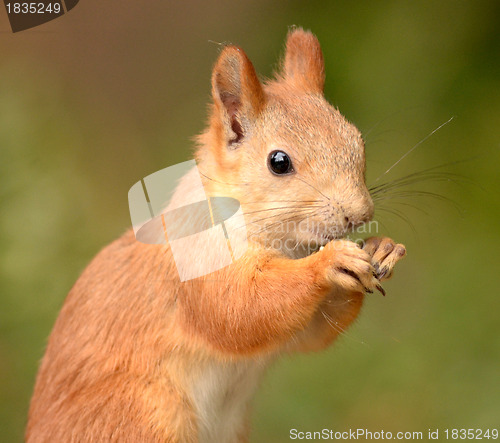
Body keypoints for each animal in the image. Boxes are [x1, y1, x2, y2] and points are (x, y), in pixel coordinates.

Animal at [25, 28, 406, 443]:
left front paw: (381, 248)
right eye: (279, 162)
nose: (360, 214)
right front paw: (331, 261)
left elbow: (311, 333)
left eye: (357, 141)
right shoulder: (197, 256)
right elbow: (238, 310)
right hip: (142, 414)